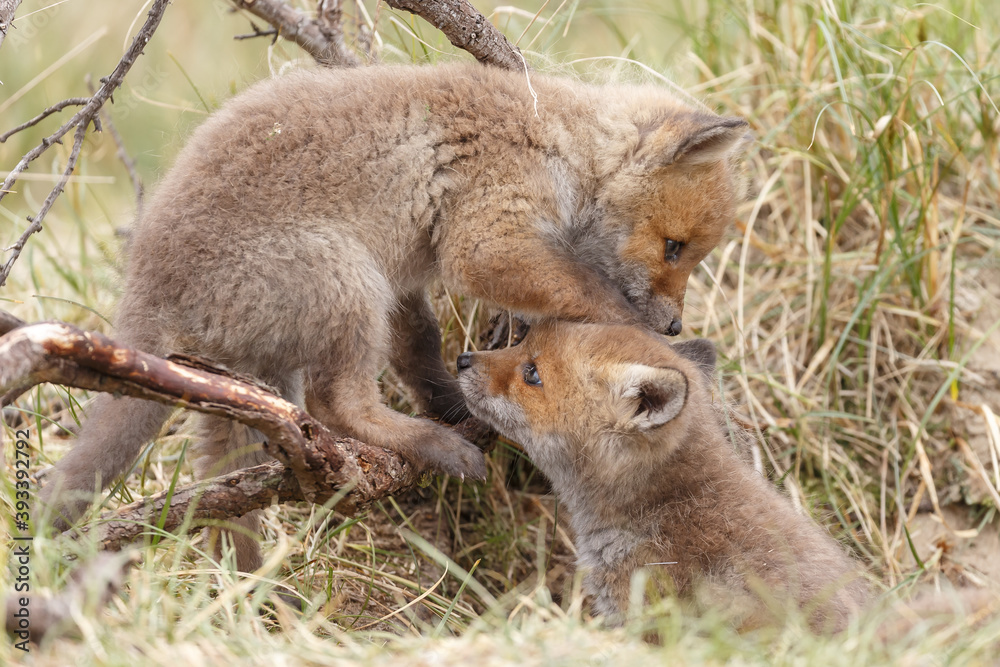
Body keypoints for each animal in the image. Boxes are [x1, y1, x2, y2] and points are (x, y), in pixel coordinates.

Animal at [39, 62, 751, 571]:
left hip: (244, 379)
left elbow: (420, 349)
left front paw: (456, 398)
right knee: (335, 407)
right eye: (674, 247)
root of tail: (144, 284)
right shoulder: (484, 236)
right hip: (345, 283)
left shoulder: (407, 274)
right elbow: (587, 294)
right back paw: (432, 447)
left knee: (230, 479)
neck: (557, 143)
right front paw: (639, 338)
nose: (674, 325)